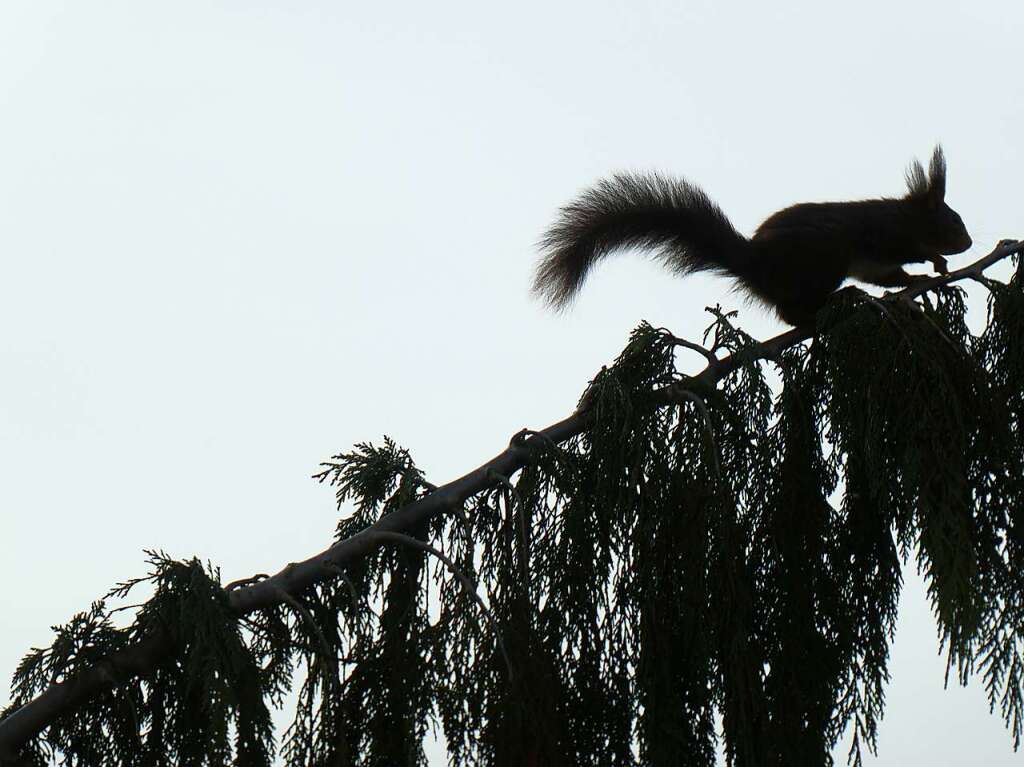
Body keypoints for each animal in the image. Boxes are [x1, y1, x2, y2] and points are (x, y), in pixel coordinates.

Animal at [532, 145, 970, 325]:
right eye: (953, 220)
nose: (967, 244)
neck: (905, 215)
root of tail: (755, 265)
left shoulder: (874, 263)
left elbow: (887, 274)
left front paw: (917, 278)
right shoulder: (884, 235)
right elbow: (903, 252)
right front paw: (933, 261)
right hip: (820, 261)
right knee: (790, 311)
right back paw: (831, 303)